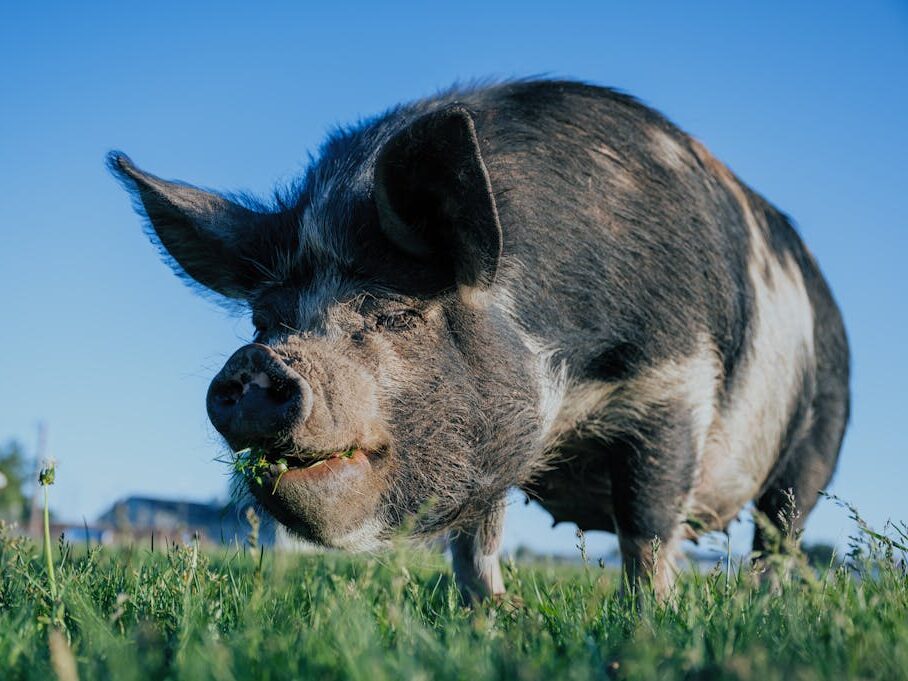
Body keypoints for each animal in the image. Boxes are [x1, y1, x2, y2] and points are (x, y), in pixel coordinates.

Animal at [108, 81, 852, 600]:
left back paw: (759, 607)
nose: (259, 361)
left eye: (396, 313)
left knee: (778, 535)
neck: (569, 393)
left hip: (819, 438)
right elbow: (473, 539)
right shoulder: (493, 434)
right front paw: (491, 615)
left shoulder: (674, 380)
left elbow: (645, 523)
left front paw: (649, 619)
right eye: (265, 320)